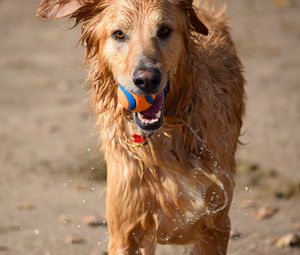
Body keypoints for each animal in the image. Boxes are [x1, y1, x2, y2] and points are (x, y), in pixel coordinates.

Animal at [37, 0, 244, 254]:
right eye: (118, 34)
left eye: (164, 30)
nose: (147, 79)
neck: (164, 139)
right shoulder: (126, 231)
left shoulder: (215, 225)